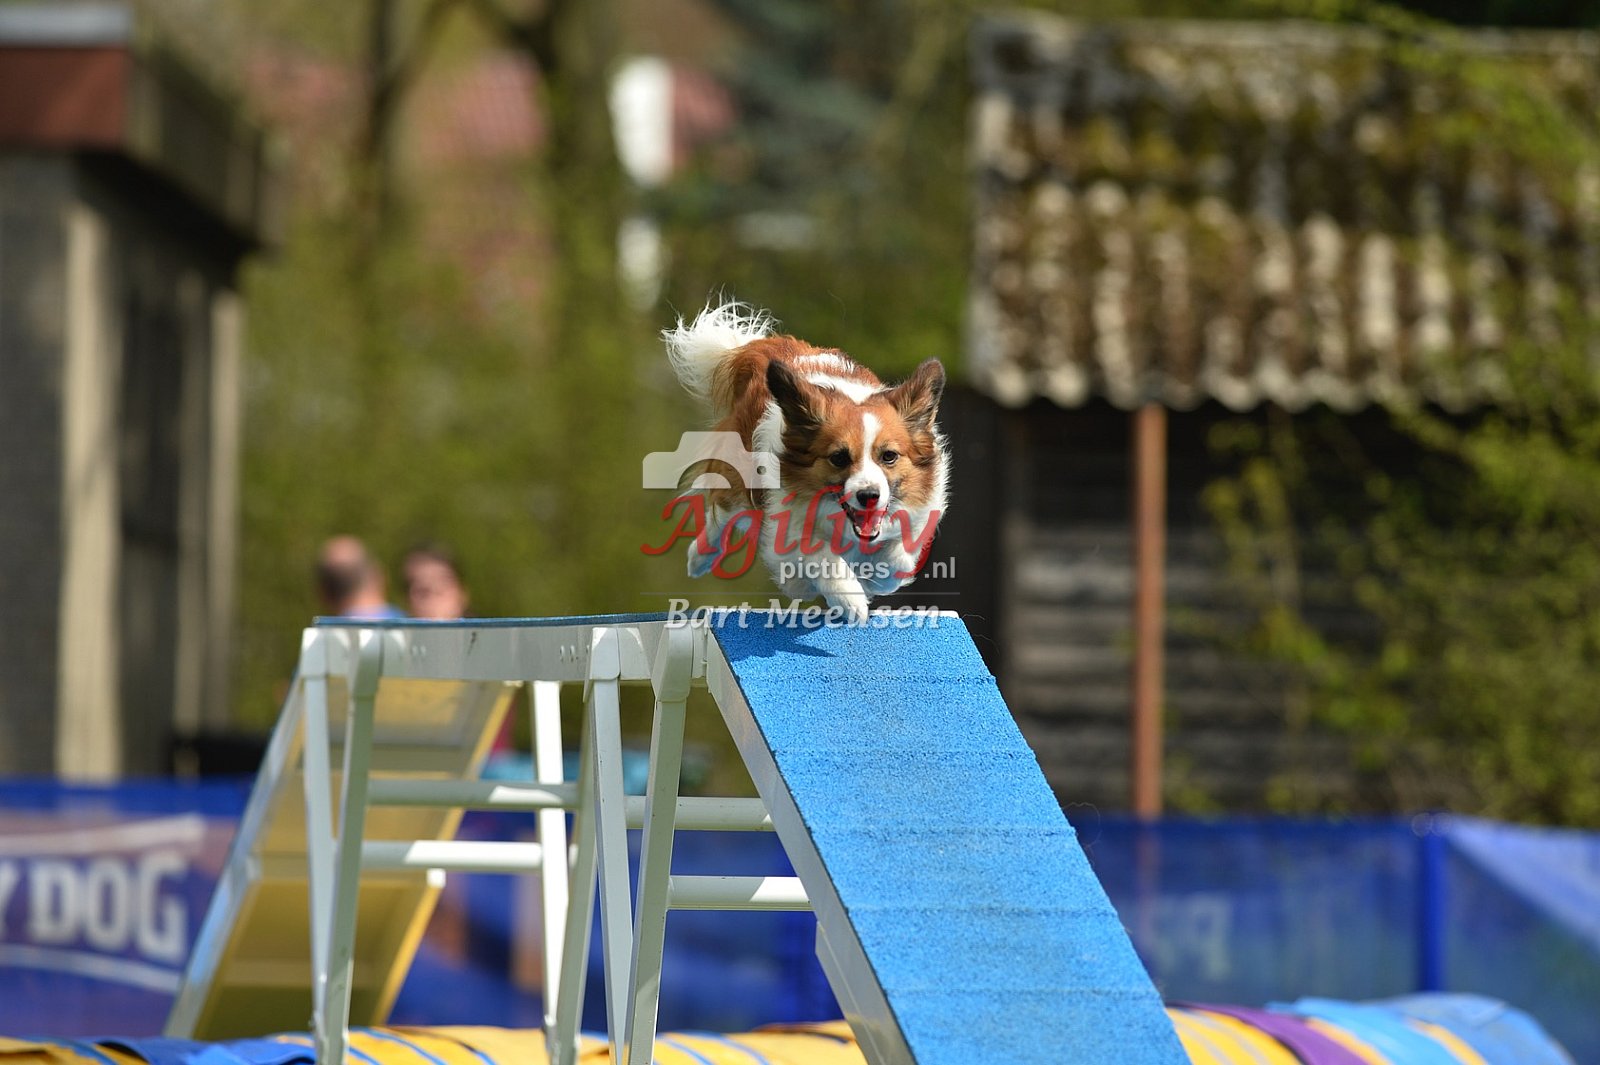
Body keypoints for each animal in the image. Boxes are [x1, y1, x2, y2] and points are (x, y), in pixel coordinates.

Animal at [662, 301, 948, 622]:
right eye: (839, 458)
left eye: (889, 456)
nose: (869, 496)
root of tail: (771, 346)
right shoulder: (788, 519)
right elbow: (820, 556)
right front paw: (849, 599)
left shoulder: (917, 516)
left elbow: (898, 559)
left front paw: (873, 578)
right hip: (739, 481)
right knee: (721, 513)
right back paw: (700, 557)